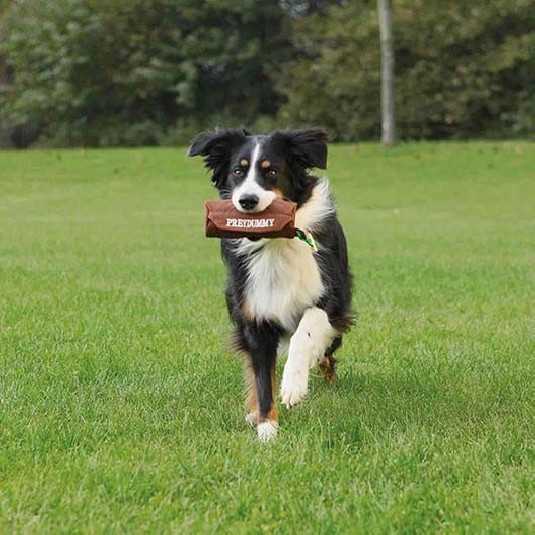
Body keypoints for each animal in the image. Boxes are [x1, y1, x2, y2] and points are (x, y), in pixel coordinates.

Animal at [189, 129, 356, 440]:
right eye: (238, 171)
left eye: (272, 171)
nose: (247, 201)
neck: (275, 243)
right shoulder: (255, 315)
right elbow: (262, 378)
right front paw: (266, 428)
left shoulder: (330, 298)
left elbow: (306, 331)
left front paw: (293, 387)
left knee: (326, 352)